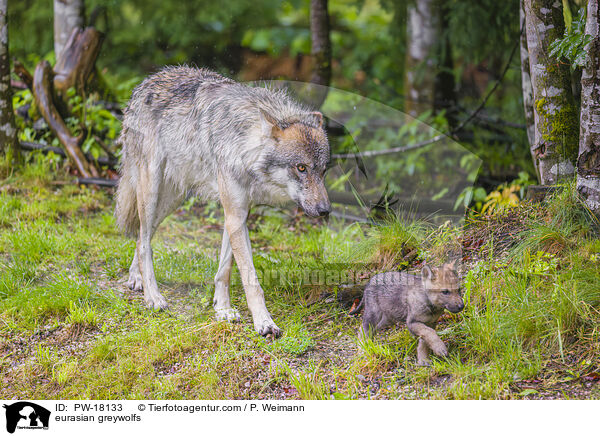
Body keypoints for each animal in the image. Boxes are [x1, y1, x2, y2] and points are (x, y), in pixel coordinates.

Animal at [115, 65, 330, 338]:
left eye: (323, 170)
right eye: (301, 168)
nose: (325, 210)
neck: (244, 144)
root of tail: (146, 81)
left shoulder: (237, 214)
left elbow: (225, 269)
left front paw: (222, 309)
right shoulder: (234, 214)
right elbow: (250, 278)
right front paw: (264, 322)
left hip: (173, 199)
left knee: (144, 234)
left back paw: (136, 278)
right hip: (150, 189)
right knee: (144, 242)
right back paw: (153, 296)